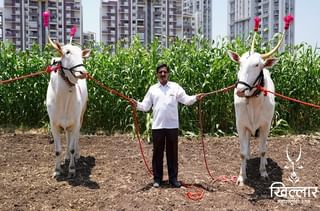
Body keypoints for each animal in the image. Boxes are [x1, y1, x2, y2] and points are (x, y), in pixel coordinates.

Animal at [46, 38, 90, 178]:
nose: (83, 72)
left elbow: (72, 147)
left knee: (75, 138)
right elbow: (57, 150)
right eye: (67, 52)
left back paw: (76, 156)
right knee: (67, 136)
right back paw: (66, 157)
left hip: (80, 116)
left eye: (82, 55)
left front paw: (71, 169)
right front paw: (57, 170)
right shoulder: (54, 124)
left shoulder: (75, 122)